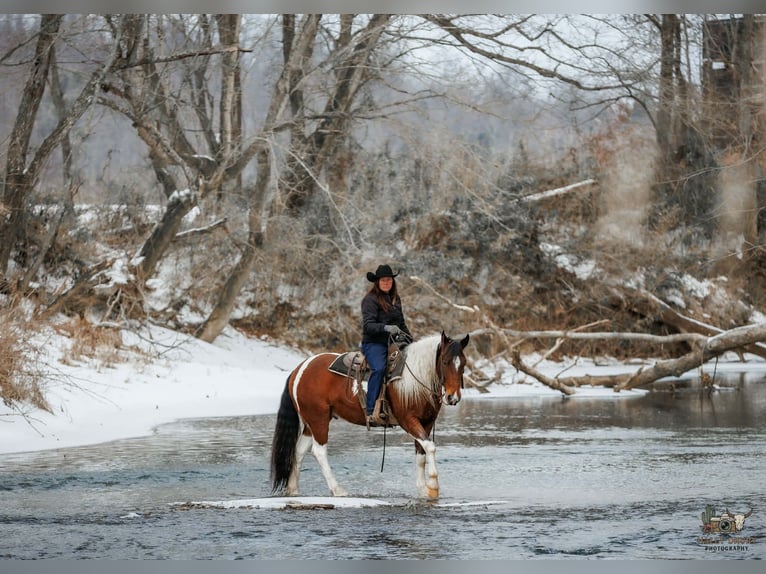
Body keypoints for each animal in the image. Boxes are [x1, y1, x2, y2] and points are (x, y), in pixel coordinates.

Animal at [270, 331, 470, 499]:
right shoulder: (408, 420)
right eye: (445, 361)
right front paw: (433, 486)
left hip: (311, 421)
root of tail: (299, 369)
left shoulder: (426, 422)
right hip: (319, 419)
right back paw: (338, 490)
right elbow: (430, 447)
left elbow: (421, 453)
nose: (452, 397)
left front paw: (422, 490)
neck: (415, 378)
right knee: (318, 452)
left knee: (299, 450)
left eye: (463, 364)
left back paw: (293, 490)